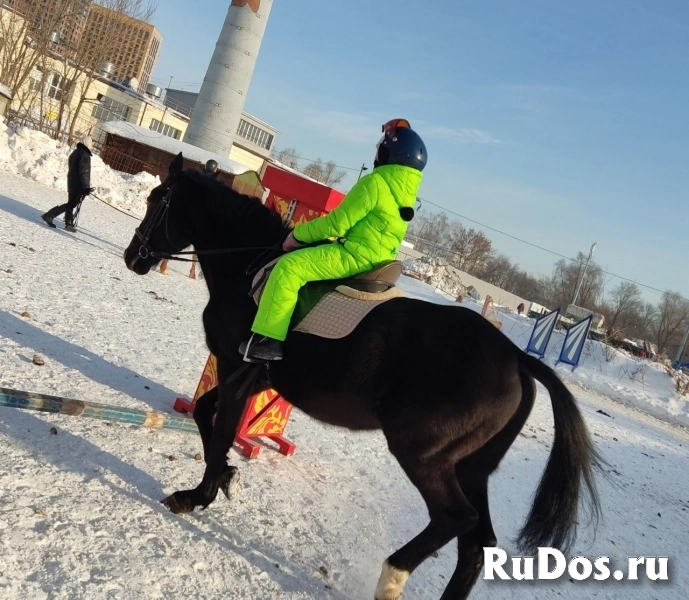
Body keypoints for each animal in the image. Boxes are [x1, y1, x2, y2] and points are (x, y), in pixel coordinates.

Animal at [123, 152, 600, 596]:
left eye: (157, 199)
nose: (133, 257)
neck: (247, 265)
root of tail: (515, 356)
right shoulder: (249, 379)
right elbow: (204, 415)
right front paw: (226, 478)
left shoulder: (236, 370)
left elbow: (219, 431)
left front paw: (196, 495)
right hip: (472, 466)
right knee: (476, 544)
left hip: (424, 454)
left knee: (455, 518)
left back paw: (392, 575)